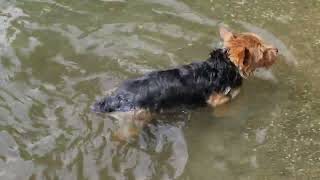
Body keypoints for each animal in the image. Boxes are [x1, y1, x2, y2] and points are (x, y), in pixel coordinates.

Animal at [92, 28, 278, 140]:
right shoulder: (220, 103)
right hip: (134, 121)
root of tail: (113, 100)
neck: (225, 65)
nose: (276, 50)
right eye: (262, 51)